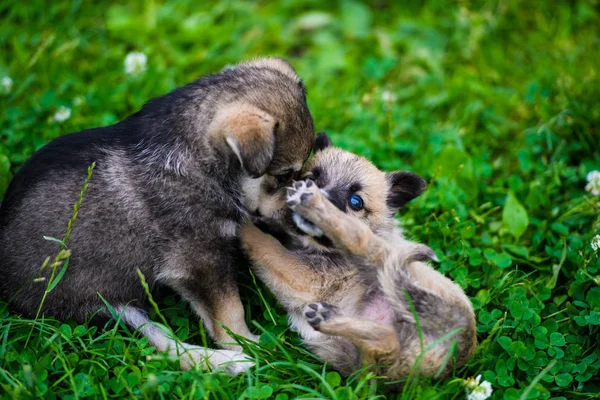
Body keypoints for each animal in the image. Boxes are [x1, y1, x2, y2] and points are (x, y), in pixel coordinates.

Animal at [0, 57, 316, 374]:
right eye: (282, 176)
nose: (299, 219)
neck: (197, 159)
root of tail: (9, 292)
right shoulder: (199, 261)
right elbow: (229, 311)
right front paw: (246, 343)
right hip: (104, 308)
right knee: (163, 345)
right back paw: (233, 362)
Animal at [241, 133, 476, 380]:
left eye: (356, 202)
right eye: (310, 177)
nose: (311, 189)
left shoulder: (309, 277)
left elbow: (265, 245)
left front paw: (245, 224)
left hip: (384, 263)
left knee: (358, 239)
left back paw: (313, 204)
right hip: (366, 362)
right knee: (386, 342)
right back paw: (331, 319)